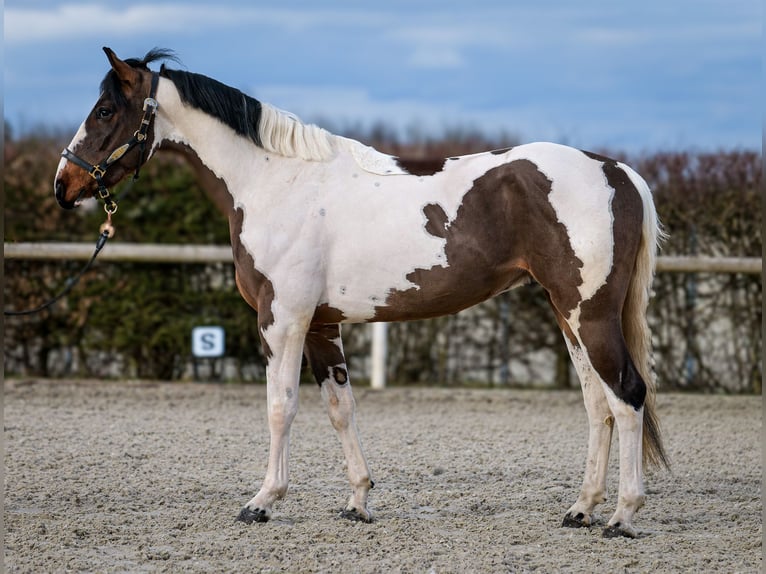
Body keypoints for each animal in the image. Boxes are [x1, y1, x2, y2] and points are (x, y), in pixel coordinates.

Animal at [54, 48, 668, 540]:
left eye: (105, 110)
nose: (65, 184)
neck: (274, 181)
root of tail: (616, 171)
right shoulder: (322, 325)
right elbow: (339, 409)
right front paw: (357, 501)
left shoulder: (284, 319)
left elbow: (280, 406)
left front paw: (262, 502)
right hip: (568, 315)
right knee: (597, 405)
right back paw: (581, 510)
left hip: (589, 315)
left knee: (627, 395)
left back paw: (623, 516)